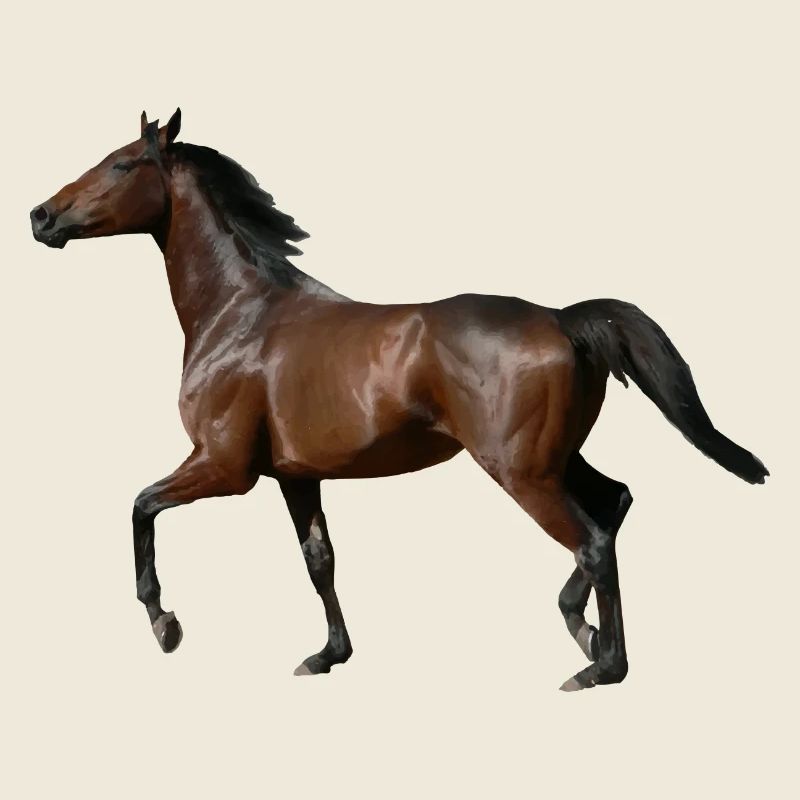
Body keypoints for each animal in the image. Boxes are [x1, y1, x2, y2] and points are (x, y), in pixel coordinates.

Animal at [30, 109, 768, 691]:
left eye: (122, 163)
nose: (41, 216)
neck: (240, 314)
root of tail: (563, 319)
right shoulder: (295, 477)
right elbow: (320, 561)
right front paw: (328, 655)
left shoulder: (223, 467)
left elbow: (140, 507)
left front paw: (165, 624)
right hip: (557, 460)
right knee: (615, 503)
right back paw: (586, 633)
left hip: (522, 473)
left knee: (591, 541)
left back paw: (597, 664)